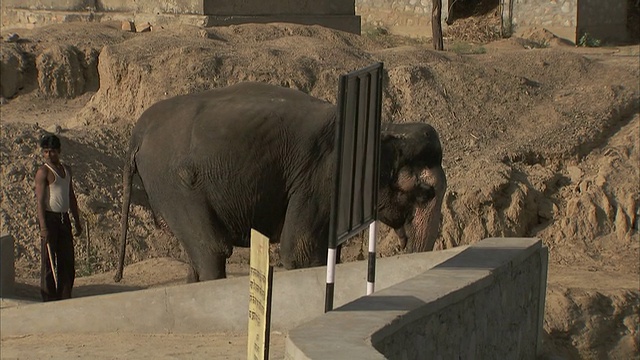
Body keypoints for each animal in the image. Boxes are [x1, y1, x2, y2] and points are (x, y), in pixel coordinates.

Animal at [115, 83, 444, 282]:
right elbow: (301, 250)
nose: (403, 245)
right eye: (425, 192)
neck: (383, 129)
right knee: (212, 248)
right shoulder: (321, 176)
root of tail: (137, 133)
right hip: (177, 184)